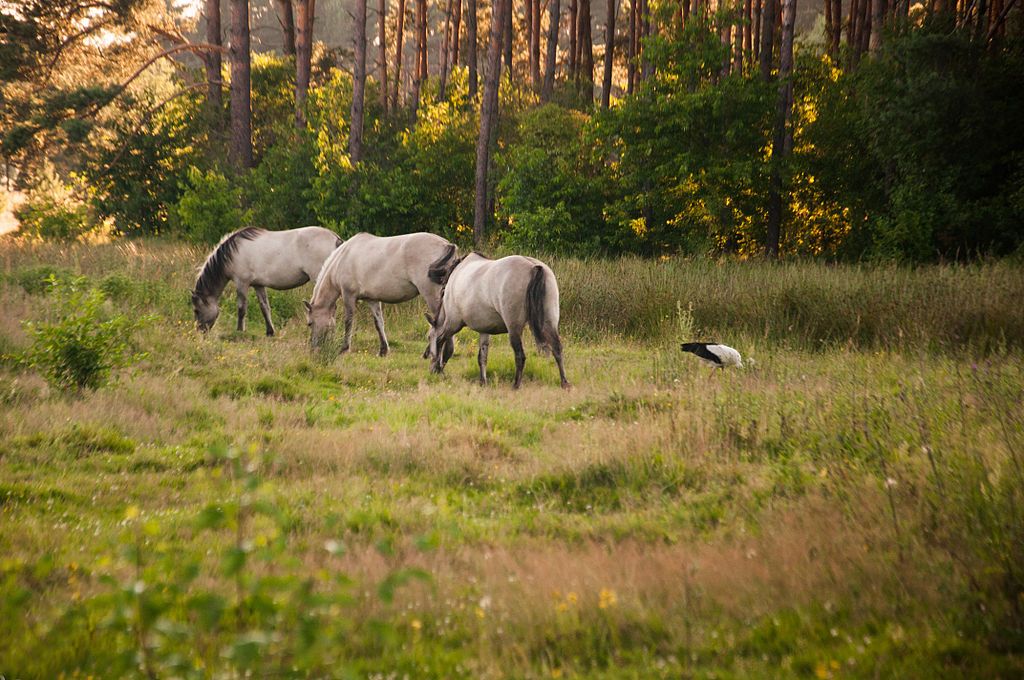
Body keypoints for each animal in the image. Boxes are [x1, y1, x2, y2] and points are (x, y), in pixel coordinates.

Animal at [193, 227, 346, 335]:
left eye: (196, 310)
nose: (200, 331)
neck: (232, 254)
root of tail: (336, 239)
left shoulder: (242, 283)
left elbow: (241, 309)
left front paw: (240, 331)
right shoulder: (258, 285)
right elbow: (264, 307)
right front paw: (270, 331)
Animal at [303, 232, 456, 352]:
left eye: (310, 323)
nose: (313, 347)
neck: (343, 259)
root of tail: (445, 244)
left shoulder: (348, 296)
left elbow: (349, 321)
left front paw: (344, 348)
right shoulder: (372, 300)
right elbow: (379, 323)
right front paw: (383, 350)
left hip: (431, 295)